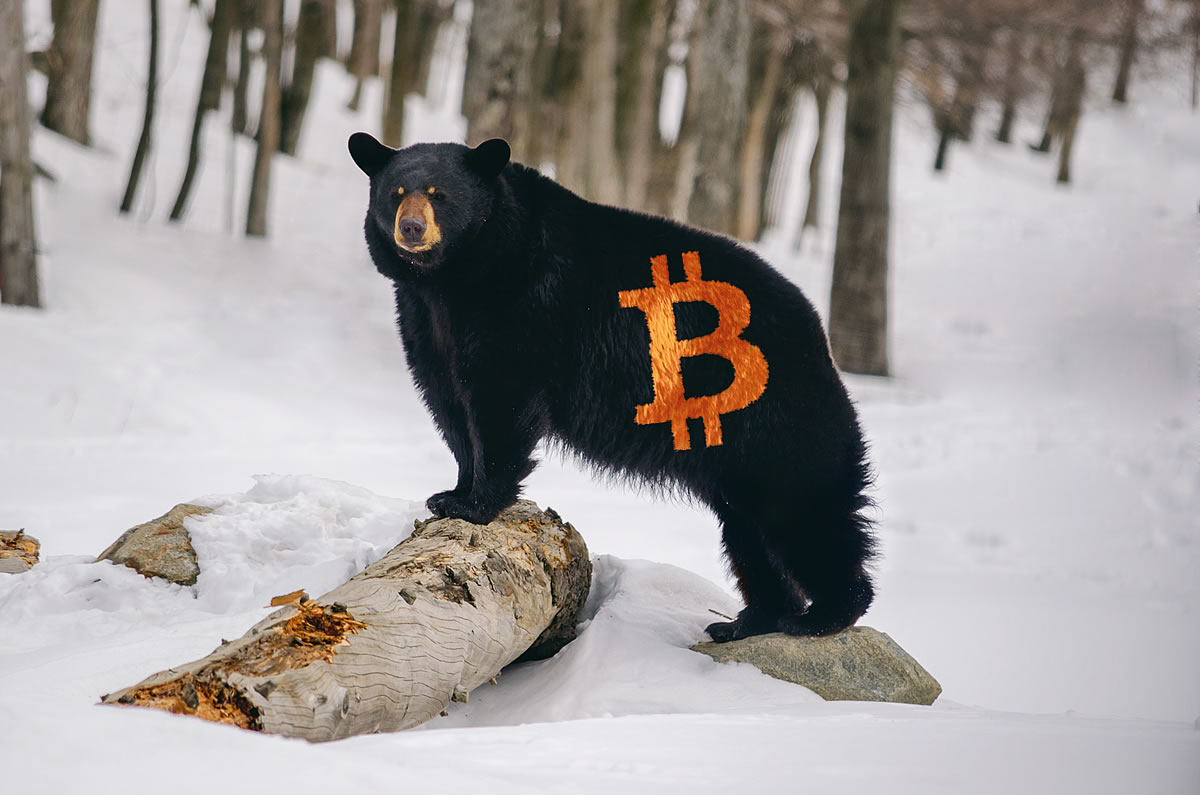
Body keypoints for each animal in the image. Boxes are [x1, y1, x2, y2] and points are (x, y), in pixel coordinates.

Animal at [348, 132, 876, 642]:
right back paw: (745, 622)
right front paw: (450, 492)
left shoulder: (525, 306)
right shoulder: (426, 321)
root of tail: (820, 342)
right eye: (396, 193)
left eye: (439, 194)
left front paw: (474, 503)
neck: (457, 276)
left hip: (774, 420)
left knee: (804, 515)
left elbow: (501, 402)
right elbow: (449, 406)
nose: (411, 228)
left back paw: (825, 614)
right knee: (750, 531)